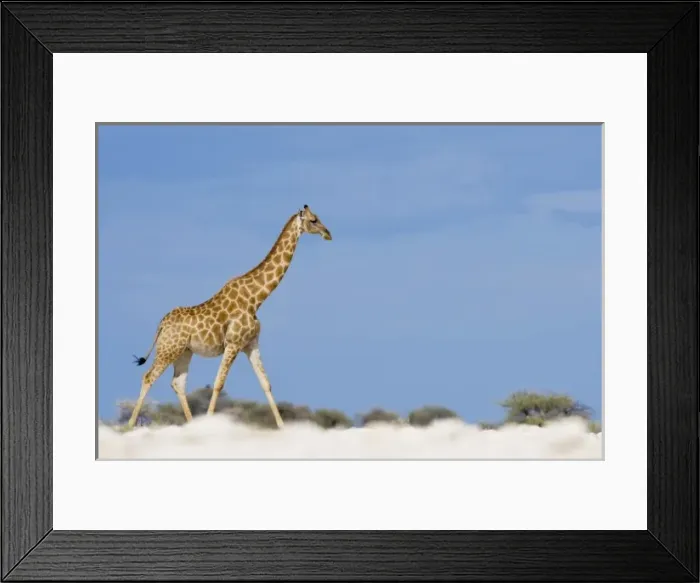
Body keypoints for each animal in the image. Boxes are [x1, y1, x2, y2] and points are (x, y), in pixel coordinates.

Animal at [126, 205, 332, 430]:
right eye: (313, 220)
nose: (328, 233)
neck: (256, 298)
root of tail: (161, 324)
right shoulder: (233, 343)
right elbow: (218, 384)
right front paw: (209, 421)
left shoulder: (251, 343)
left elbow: (265, 383)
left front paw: (282, 426)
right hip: (168, 349)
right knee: (148, 377)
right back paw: (130, 424)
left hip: (184, 352)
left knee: (178, 383)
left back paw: (191, 424)